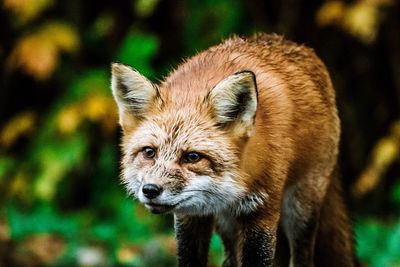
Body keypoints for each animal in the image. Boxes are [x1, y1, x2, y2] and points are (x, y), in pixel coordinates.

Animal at [111, 34, 354, 267]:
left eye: (192, 157)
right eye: (149, 152)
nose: (150, 190)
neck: (240, 180)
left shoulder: (262, 210)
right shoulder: (190, 215)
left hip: (301, 209)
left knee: (303, 257)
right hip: (226, 223)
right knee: (230, 259)